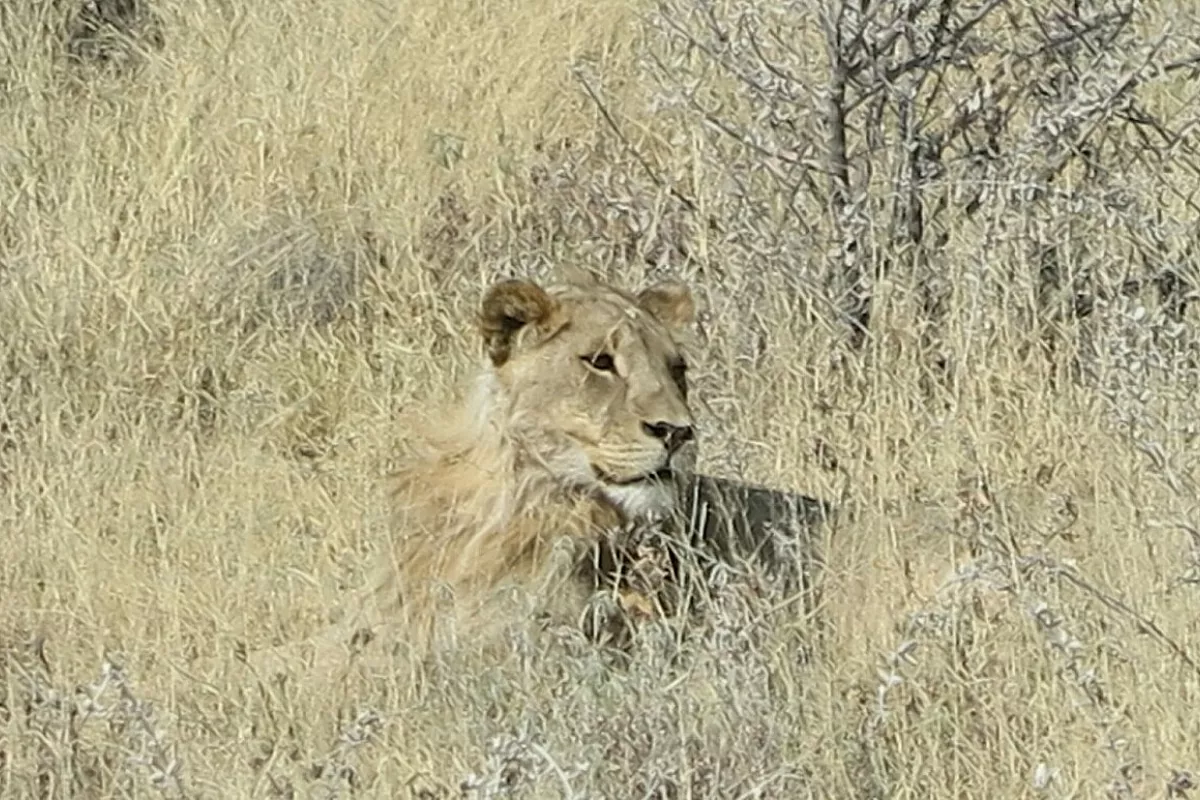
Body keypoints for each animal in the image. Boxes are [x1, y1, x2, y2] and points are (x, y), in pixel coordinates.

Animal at [230, 270, 701, 681]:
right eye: (601, 362)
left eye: (677, 370)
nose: (678, 432)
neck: (511, 493)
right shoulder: (379, 616)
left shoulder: (508, 640)